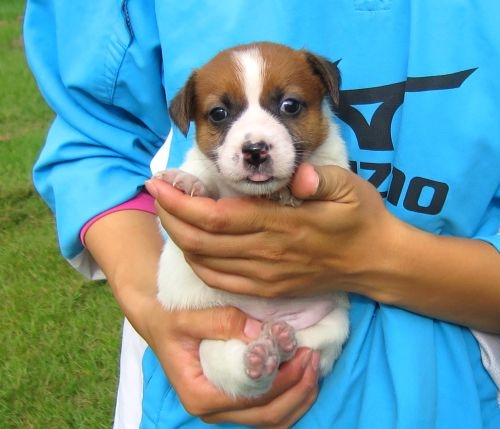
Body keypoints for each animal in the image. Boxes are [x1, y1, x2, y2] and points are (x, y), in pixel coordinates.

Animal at [155, 42, 350, 398]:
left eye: (290, 105)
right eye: (218, 113)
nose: (255, 150)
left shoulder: (333, 163)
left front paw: (289, 192)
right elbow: (202, 178)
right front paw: (187, 182)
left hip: (332, 327)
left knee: (302, 347)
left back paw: (281, 341)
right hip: (214, 346)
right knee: (241, 373)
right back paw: (260, 356)